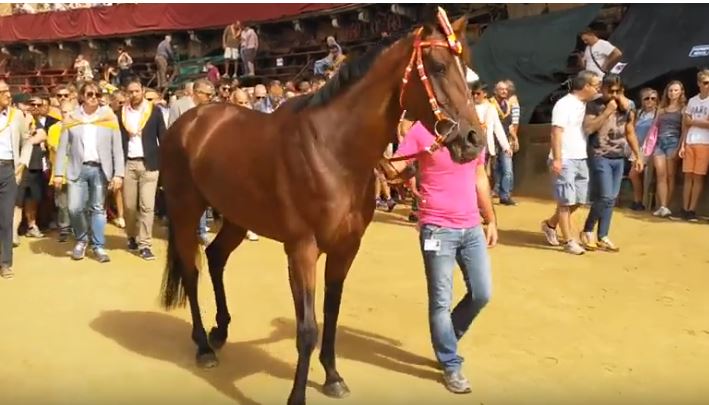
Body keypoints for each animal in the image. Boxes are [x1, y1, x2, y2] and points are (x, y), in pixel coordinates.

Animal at [159, 9, 485, 405]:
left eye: (466, 67)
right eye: (438, 66)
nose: (473, 140)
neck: (332, 150)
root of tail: (187, 122)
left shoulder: (346, 247)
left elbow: (331, 314)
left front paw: (332, 376)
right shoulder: (302, 249)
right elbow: (307, 328)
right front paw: (297, 396)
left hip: (236, 216)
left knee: (216, 258)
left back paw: (219, 330)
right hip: (185, 210)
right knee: (192, 271)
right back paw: (204, 346)